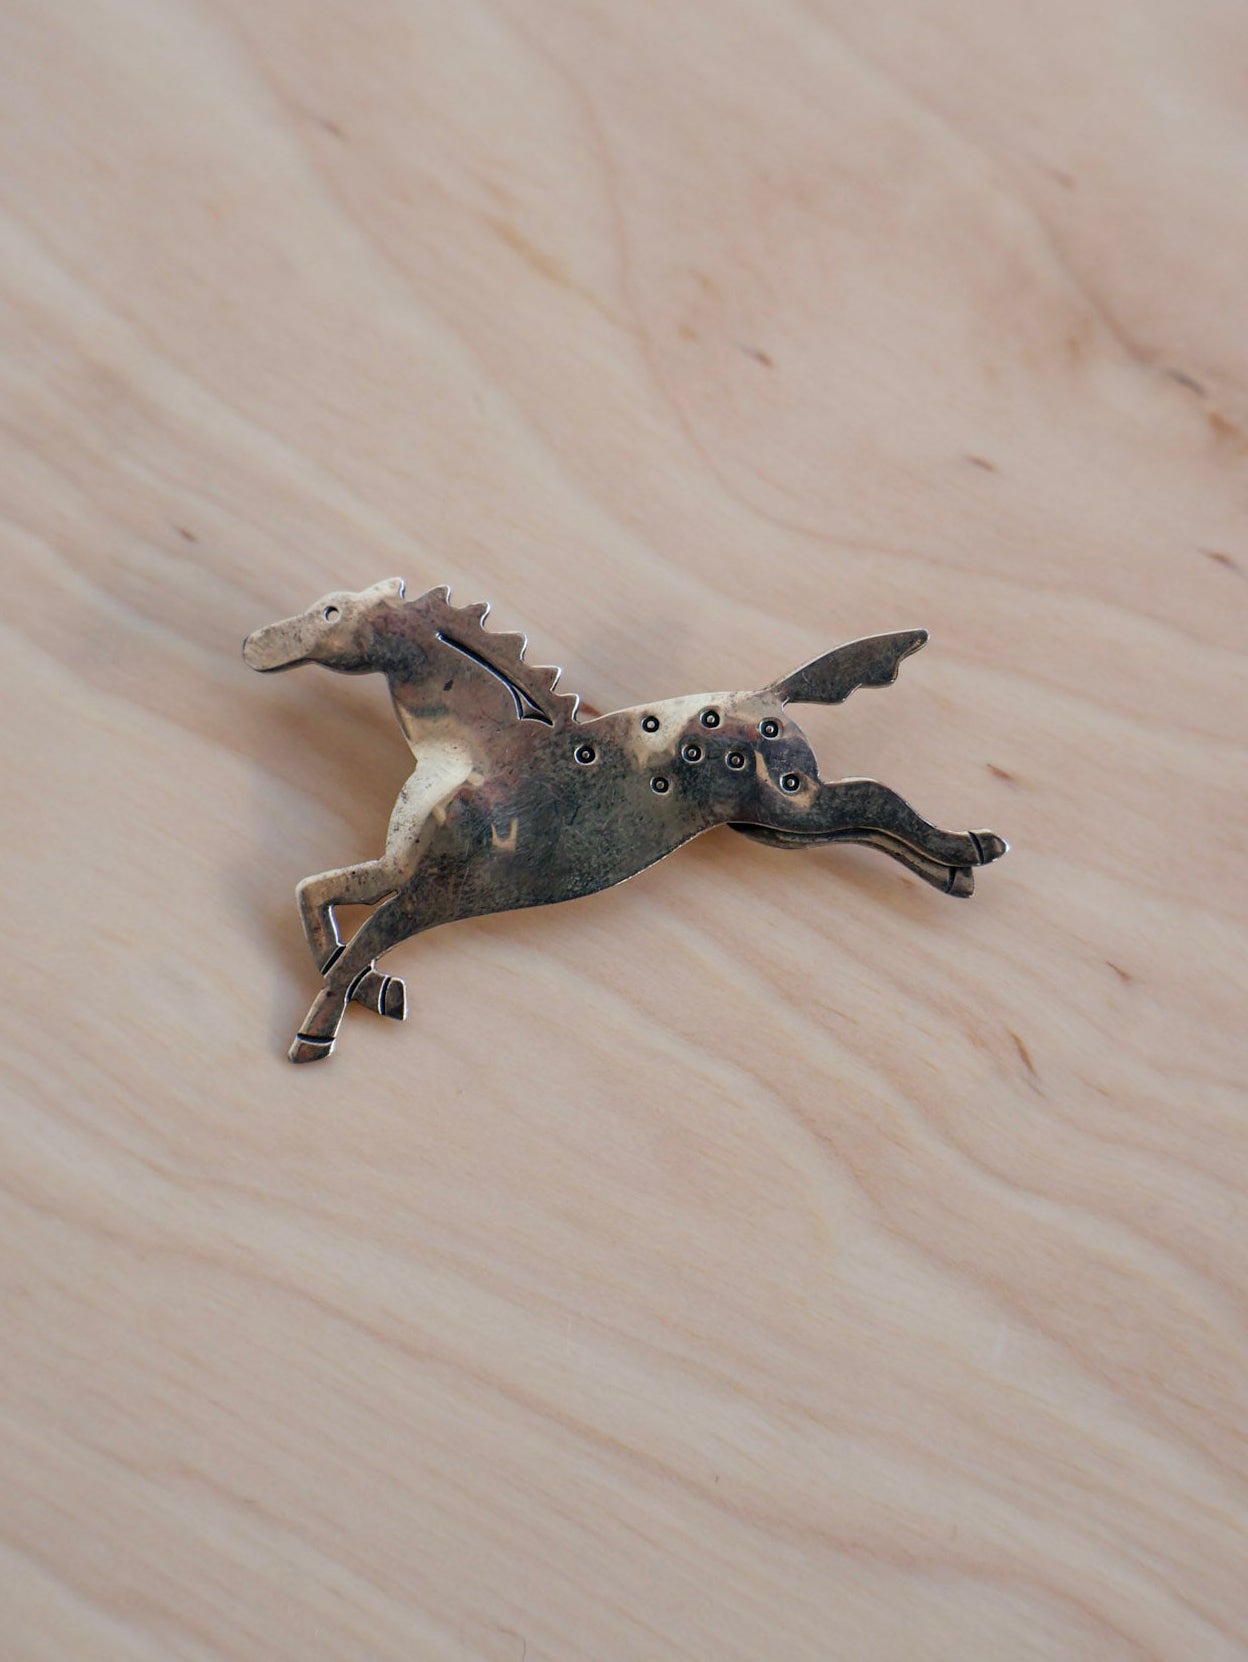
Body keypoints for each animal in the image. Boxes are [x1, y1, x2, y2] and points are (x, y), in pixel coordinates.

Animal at [244, 580, 1007, 1061]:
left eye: (330, 610)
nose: (253, 643)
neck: (471, 750)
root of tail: (770, 696)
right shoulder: (400, 869)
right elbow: (315, 899)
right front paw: (377, 990)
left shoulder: (440, 891)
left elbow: (358, 943)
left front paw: (317, 1035)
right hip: (774, 825)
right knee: (866, 820)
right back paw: (956, 870)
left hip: (790, 800)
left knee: (876, 799)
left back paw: (973, 845)